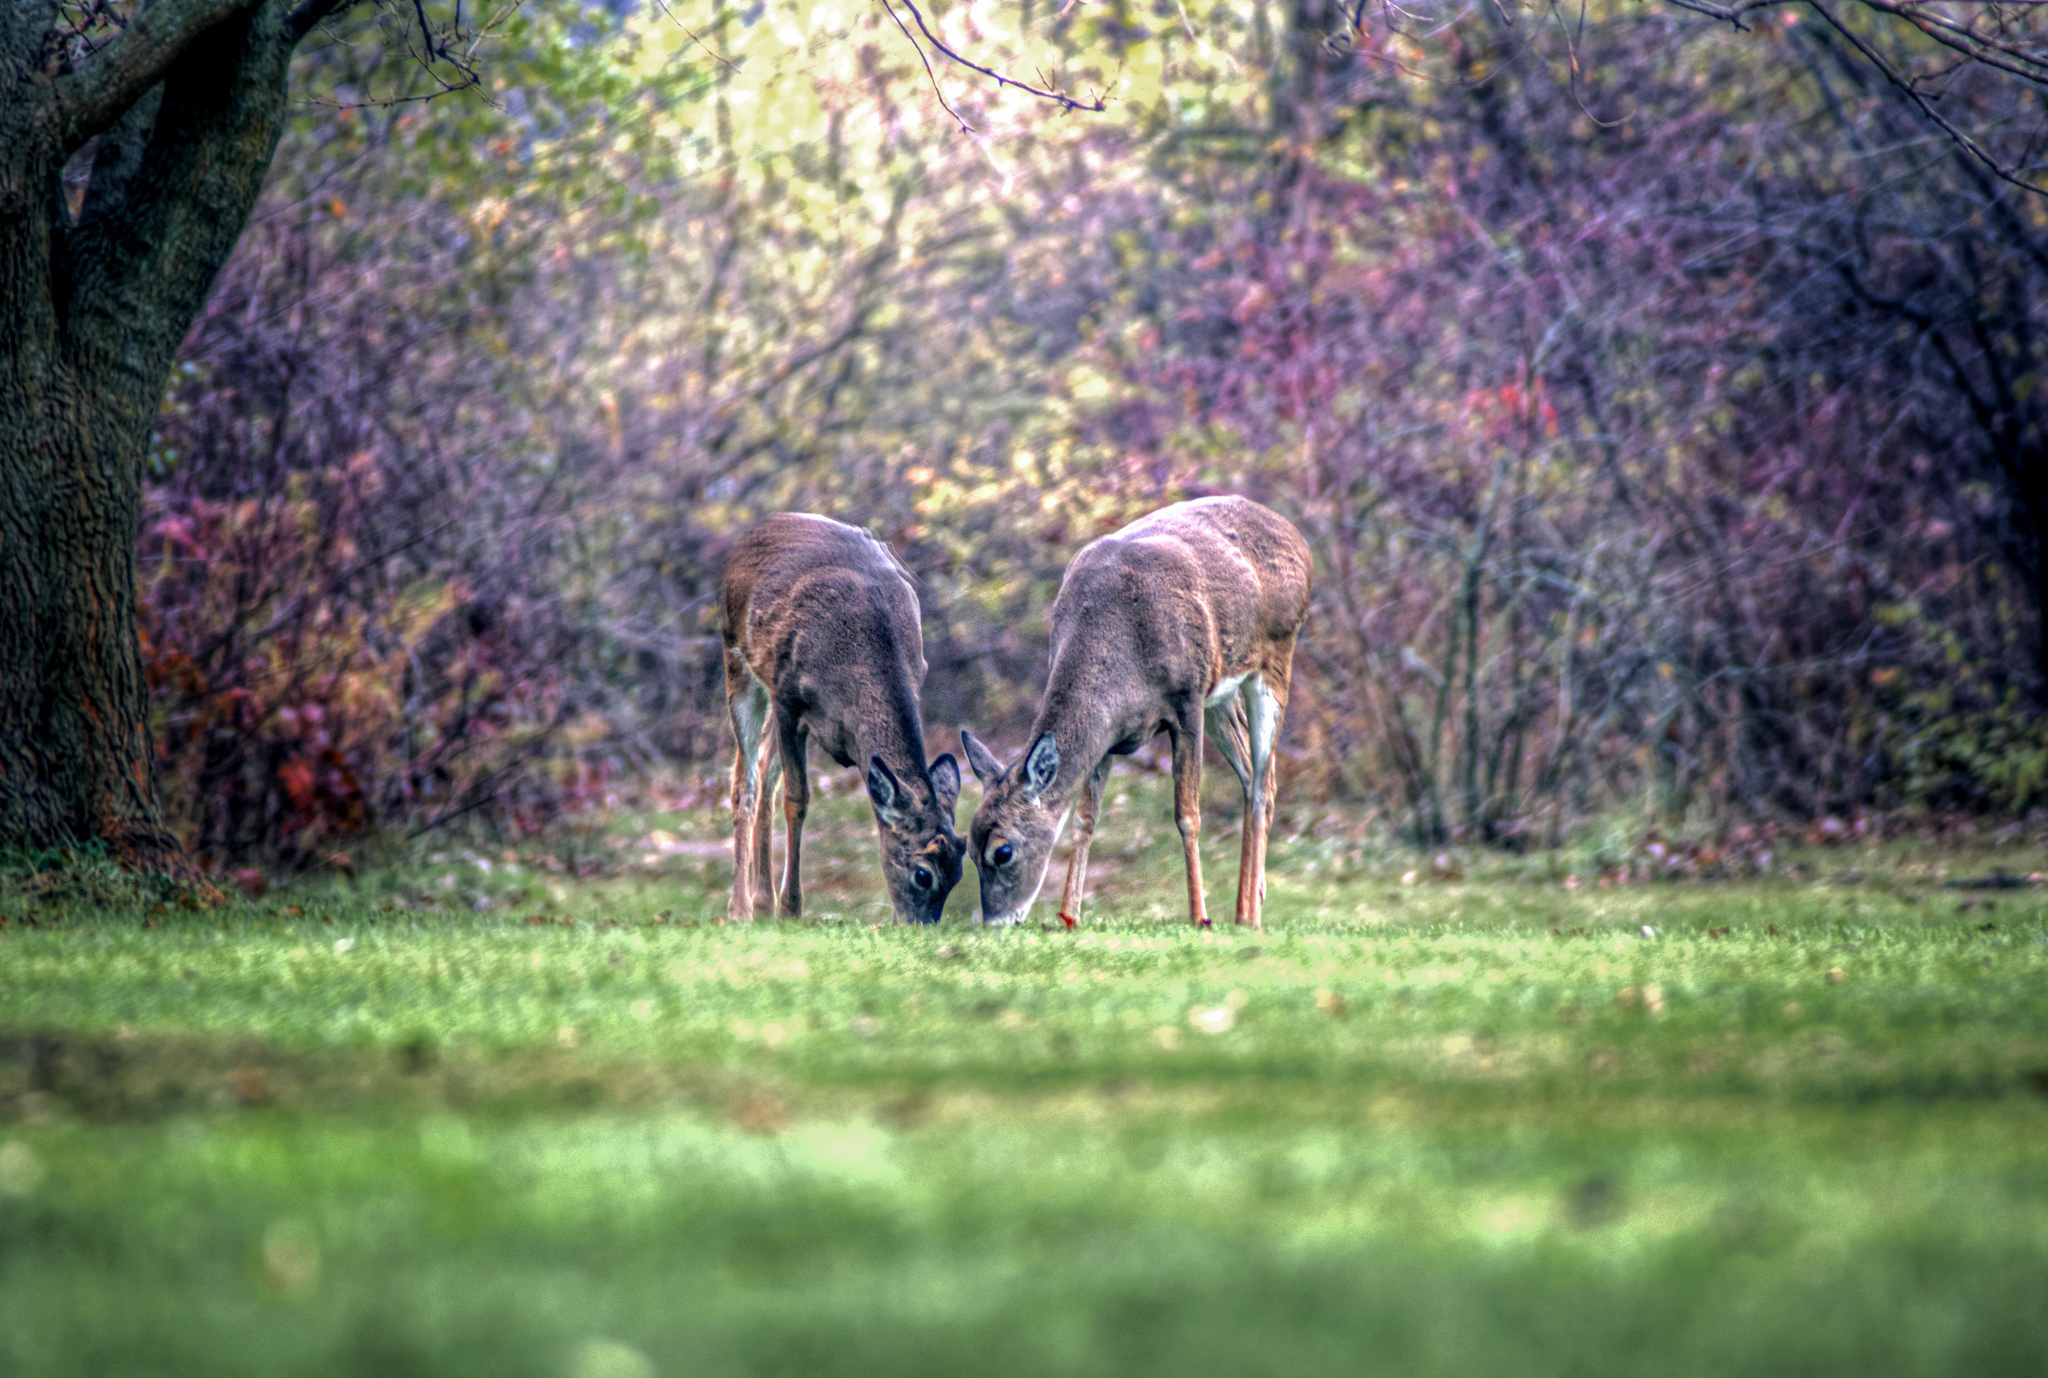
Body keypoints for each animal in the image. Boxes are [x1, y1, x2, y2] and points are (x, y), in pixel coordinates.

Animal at [716, 513, 962, 925]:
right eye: (922, 873)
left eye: (959, 872)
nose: (920, 926)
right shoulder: (789, 697)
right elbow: (798, 799)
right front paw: (792, 909)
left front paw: (782, 906)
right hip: (737, 658)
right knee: (745, 782)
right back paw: (740, 908)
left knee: (764, 771)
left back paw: (763, 900)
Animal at [962, 489, 1310, 929]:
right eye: (968, 848)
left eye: (1002, 851)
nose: (994, 922)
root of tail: (1297, 537)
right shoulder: (1110, 734)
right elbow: (1084, 818)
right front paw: (1068, 916)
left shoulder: (1186, 700)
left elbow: (1187, 815)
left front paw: (1199, 916)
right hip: (1222, 694)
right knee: (1253, 777)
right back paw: (1248, 907)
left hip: (1275, 659)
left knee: (1263, 783)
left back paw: (1246, 915)